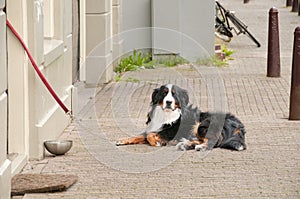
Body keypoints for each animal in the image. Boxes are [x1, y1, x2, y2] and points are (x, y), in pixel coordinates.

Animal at [115, 83, 246, 151]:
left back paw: (199, 146)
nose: (168, 102)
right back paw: (187, 144)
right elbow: (139, 135)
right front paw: (122, 140)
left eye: (174, 94)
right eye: (164, 93)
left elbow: (150, 135)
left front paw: (156, 143)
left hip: (203, 124)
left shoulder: (171, 131)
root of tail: (239, 125)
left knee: (213, 142)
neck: (166, 114)